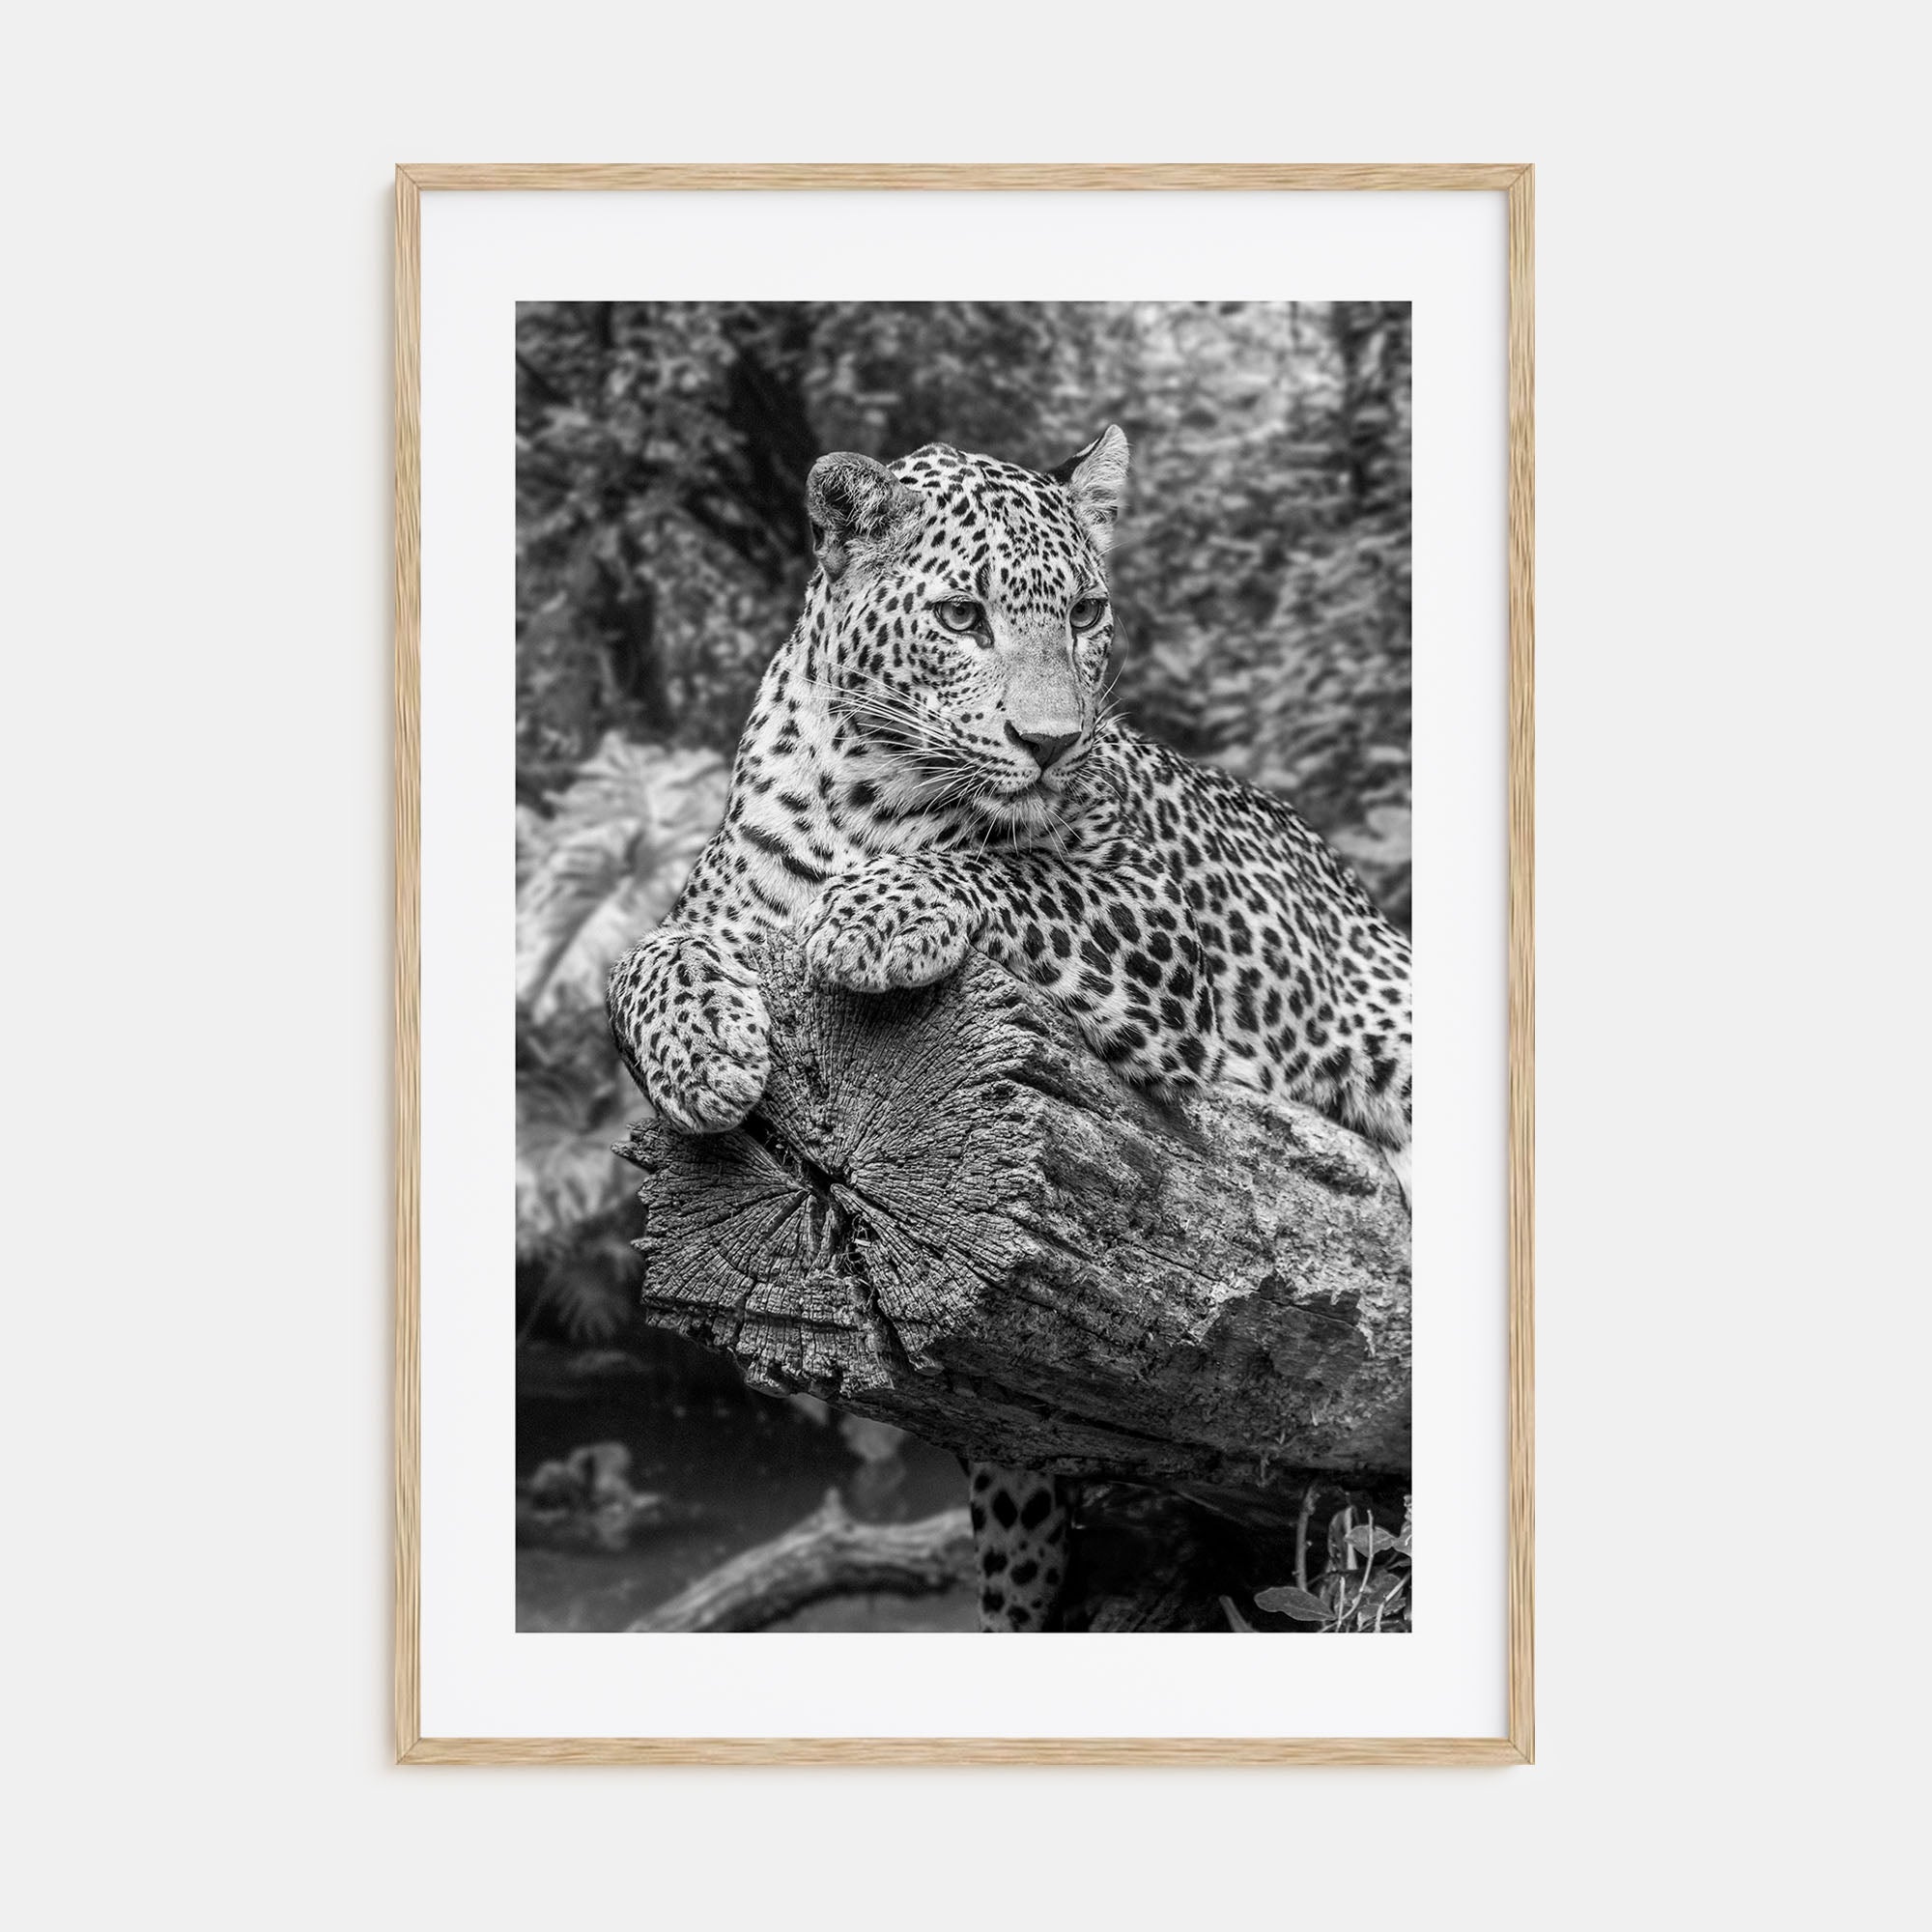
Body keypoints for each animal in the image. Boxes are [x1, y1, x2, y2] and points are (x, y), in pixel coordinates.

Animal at [607, 425, 1412, 1632]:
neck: (869, 795)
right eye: (960, 617)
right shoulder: (712, 909)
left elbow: (1009, 870)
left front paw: (871, 913)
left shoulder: (1146, 912)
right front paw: (700, 1051)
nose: (1050, 741)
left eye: (1083, 611)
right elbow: (638, 959)